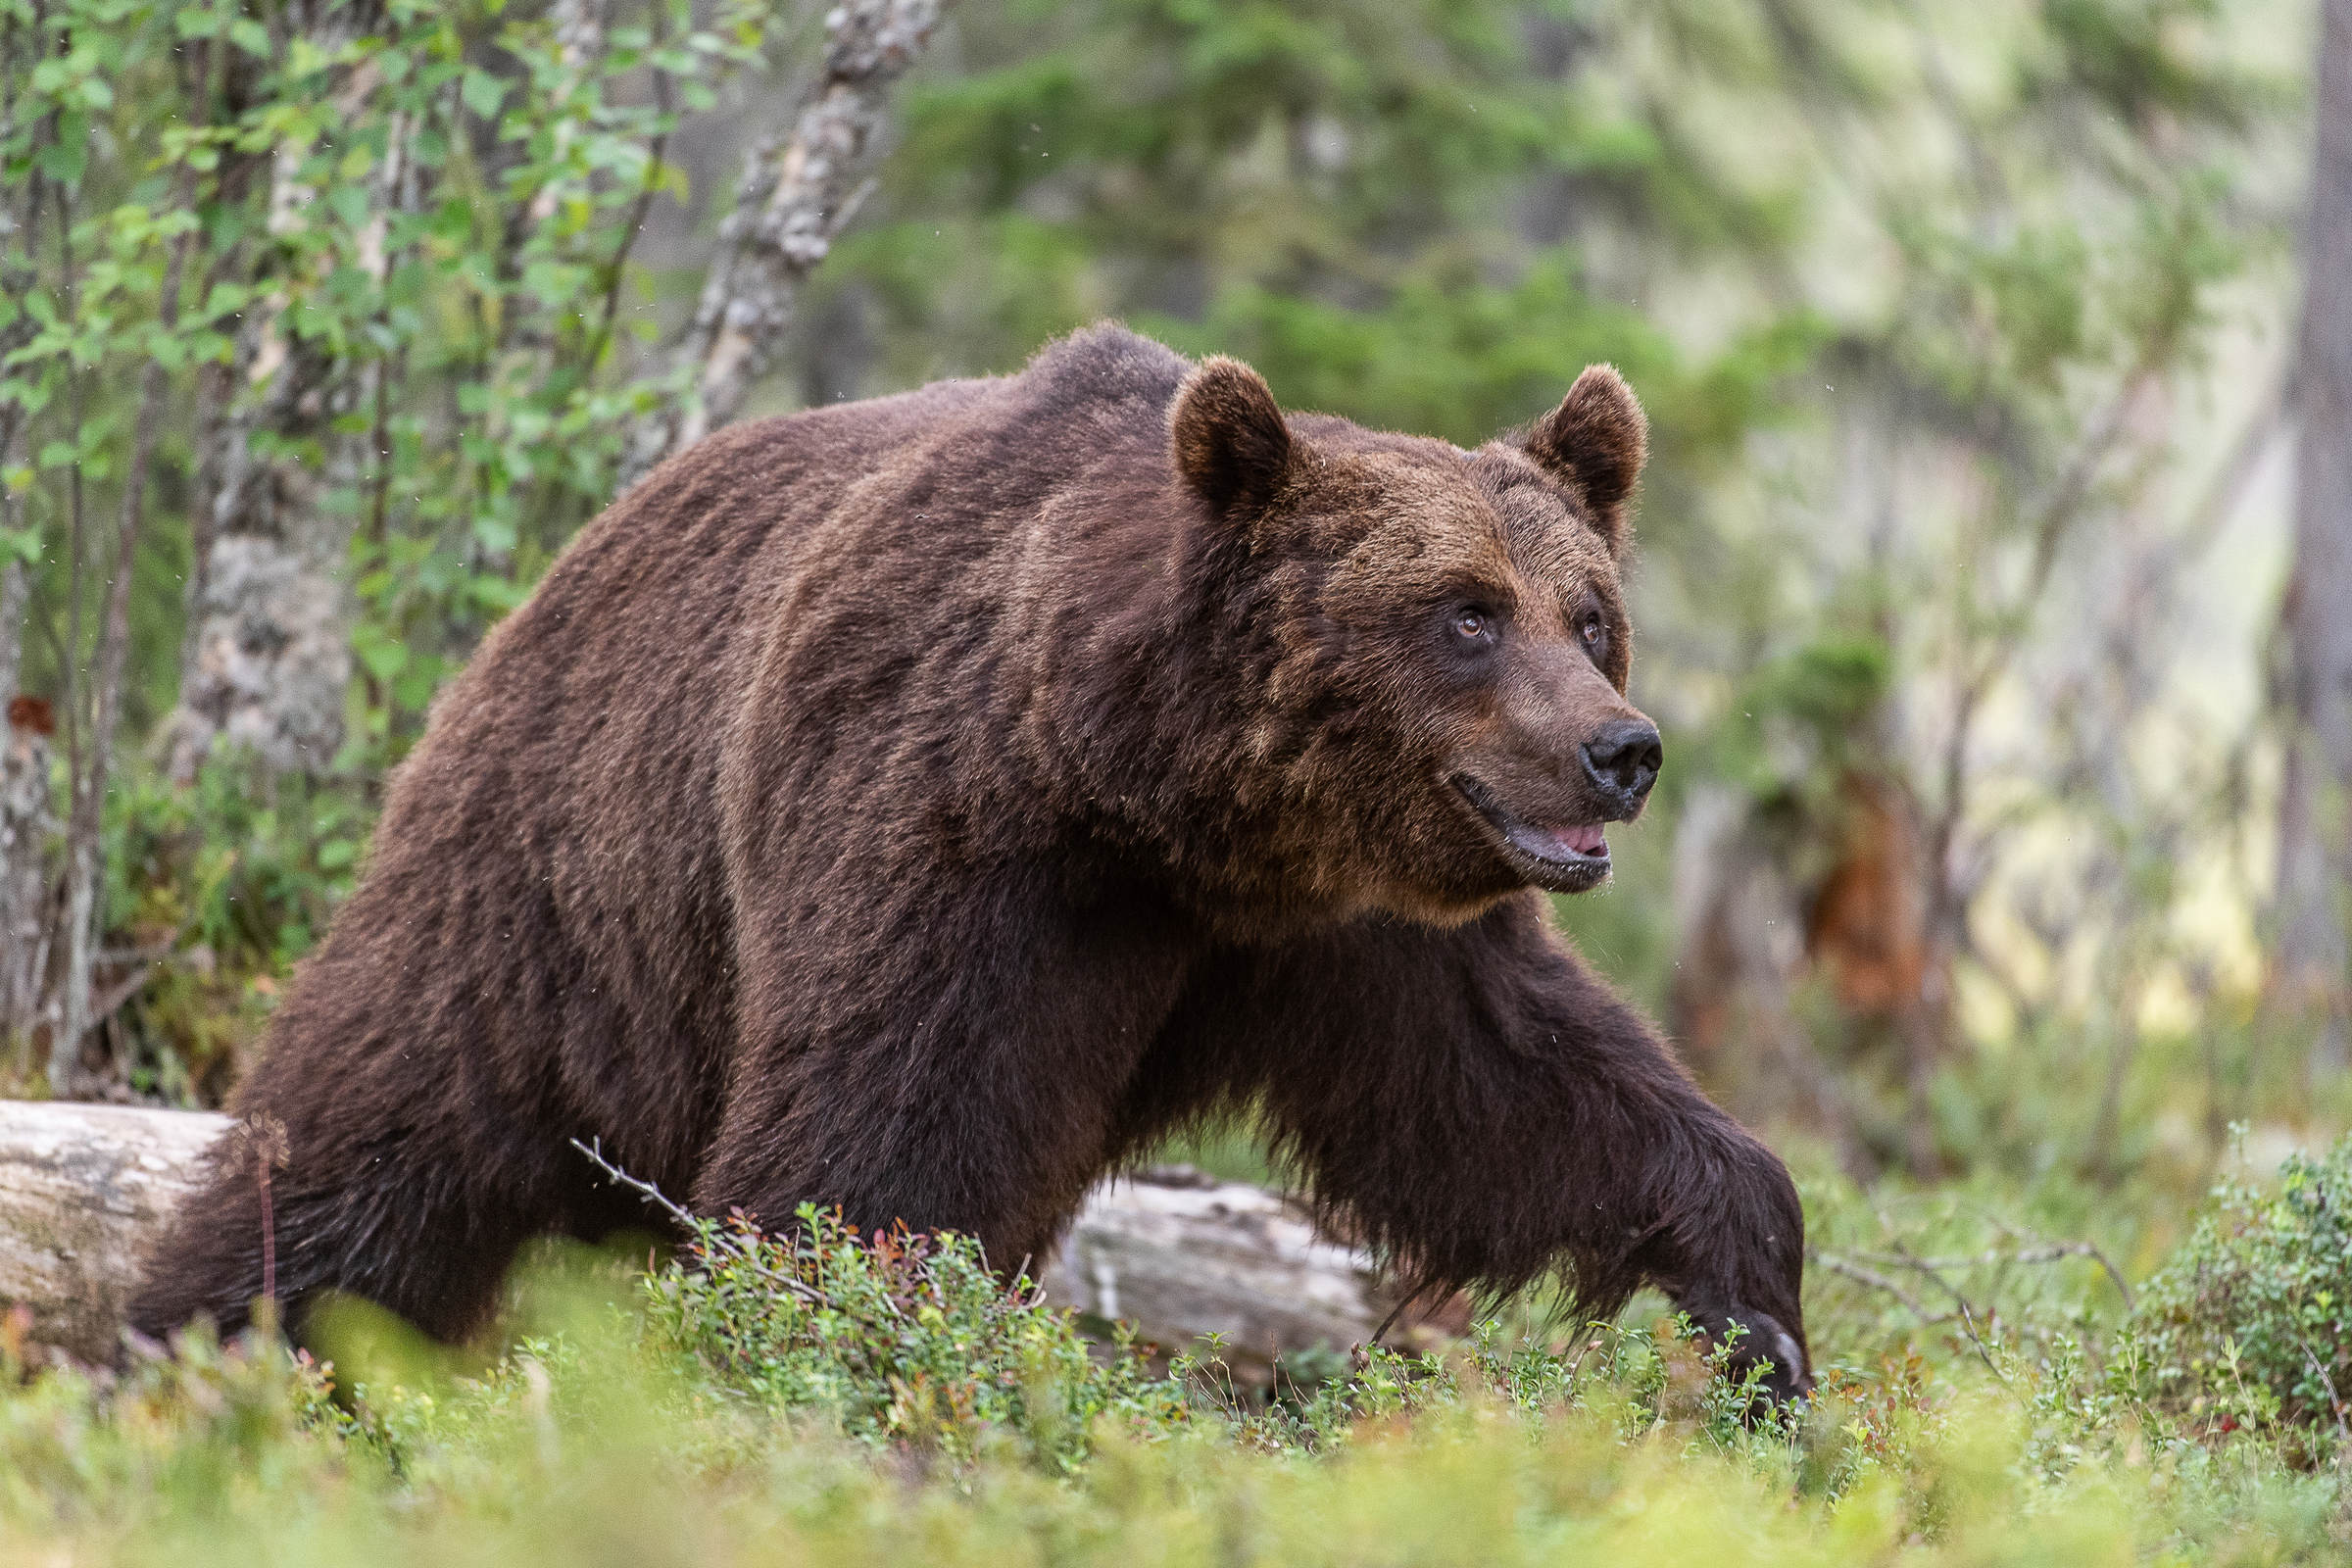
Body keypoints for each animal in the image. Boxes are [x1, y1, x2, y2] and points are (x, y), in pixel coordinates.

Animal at [128, 328, 1806, 1400]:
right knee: (371, 1158)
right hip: (551, 891)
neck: (1159, 806)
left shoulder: (1348, 934)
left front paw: (1758, 1321)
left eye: (1587, 613)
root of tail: (565, 561)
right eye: (1464, 612)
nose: (1622, 750)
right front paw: (846, 1374)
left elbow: (1513, 1102)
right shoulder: (947, 840)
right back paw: (196, 1363)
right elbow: (874, 1161)